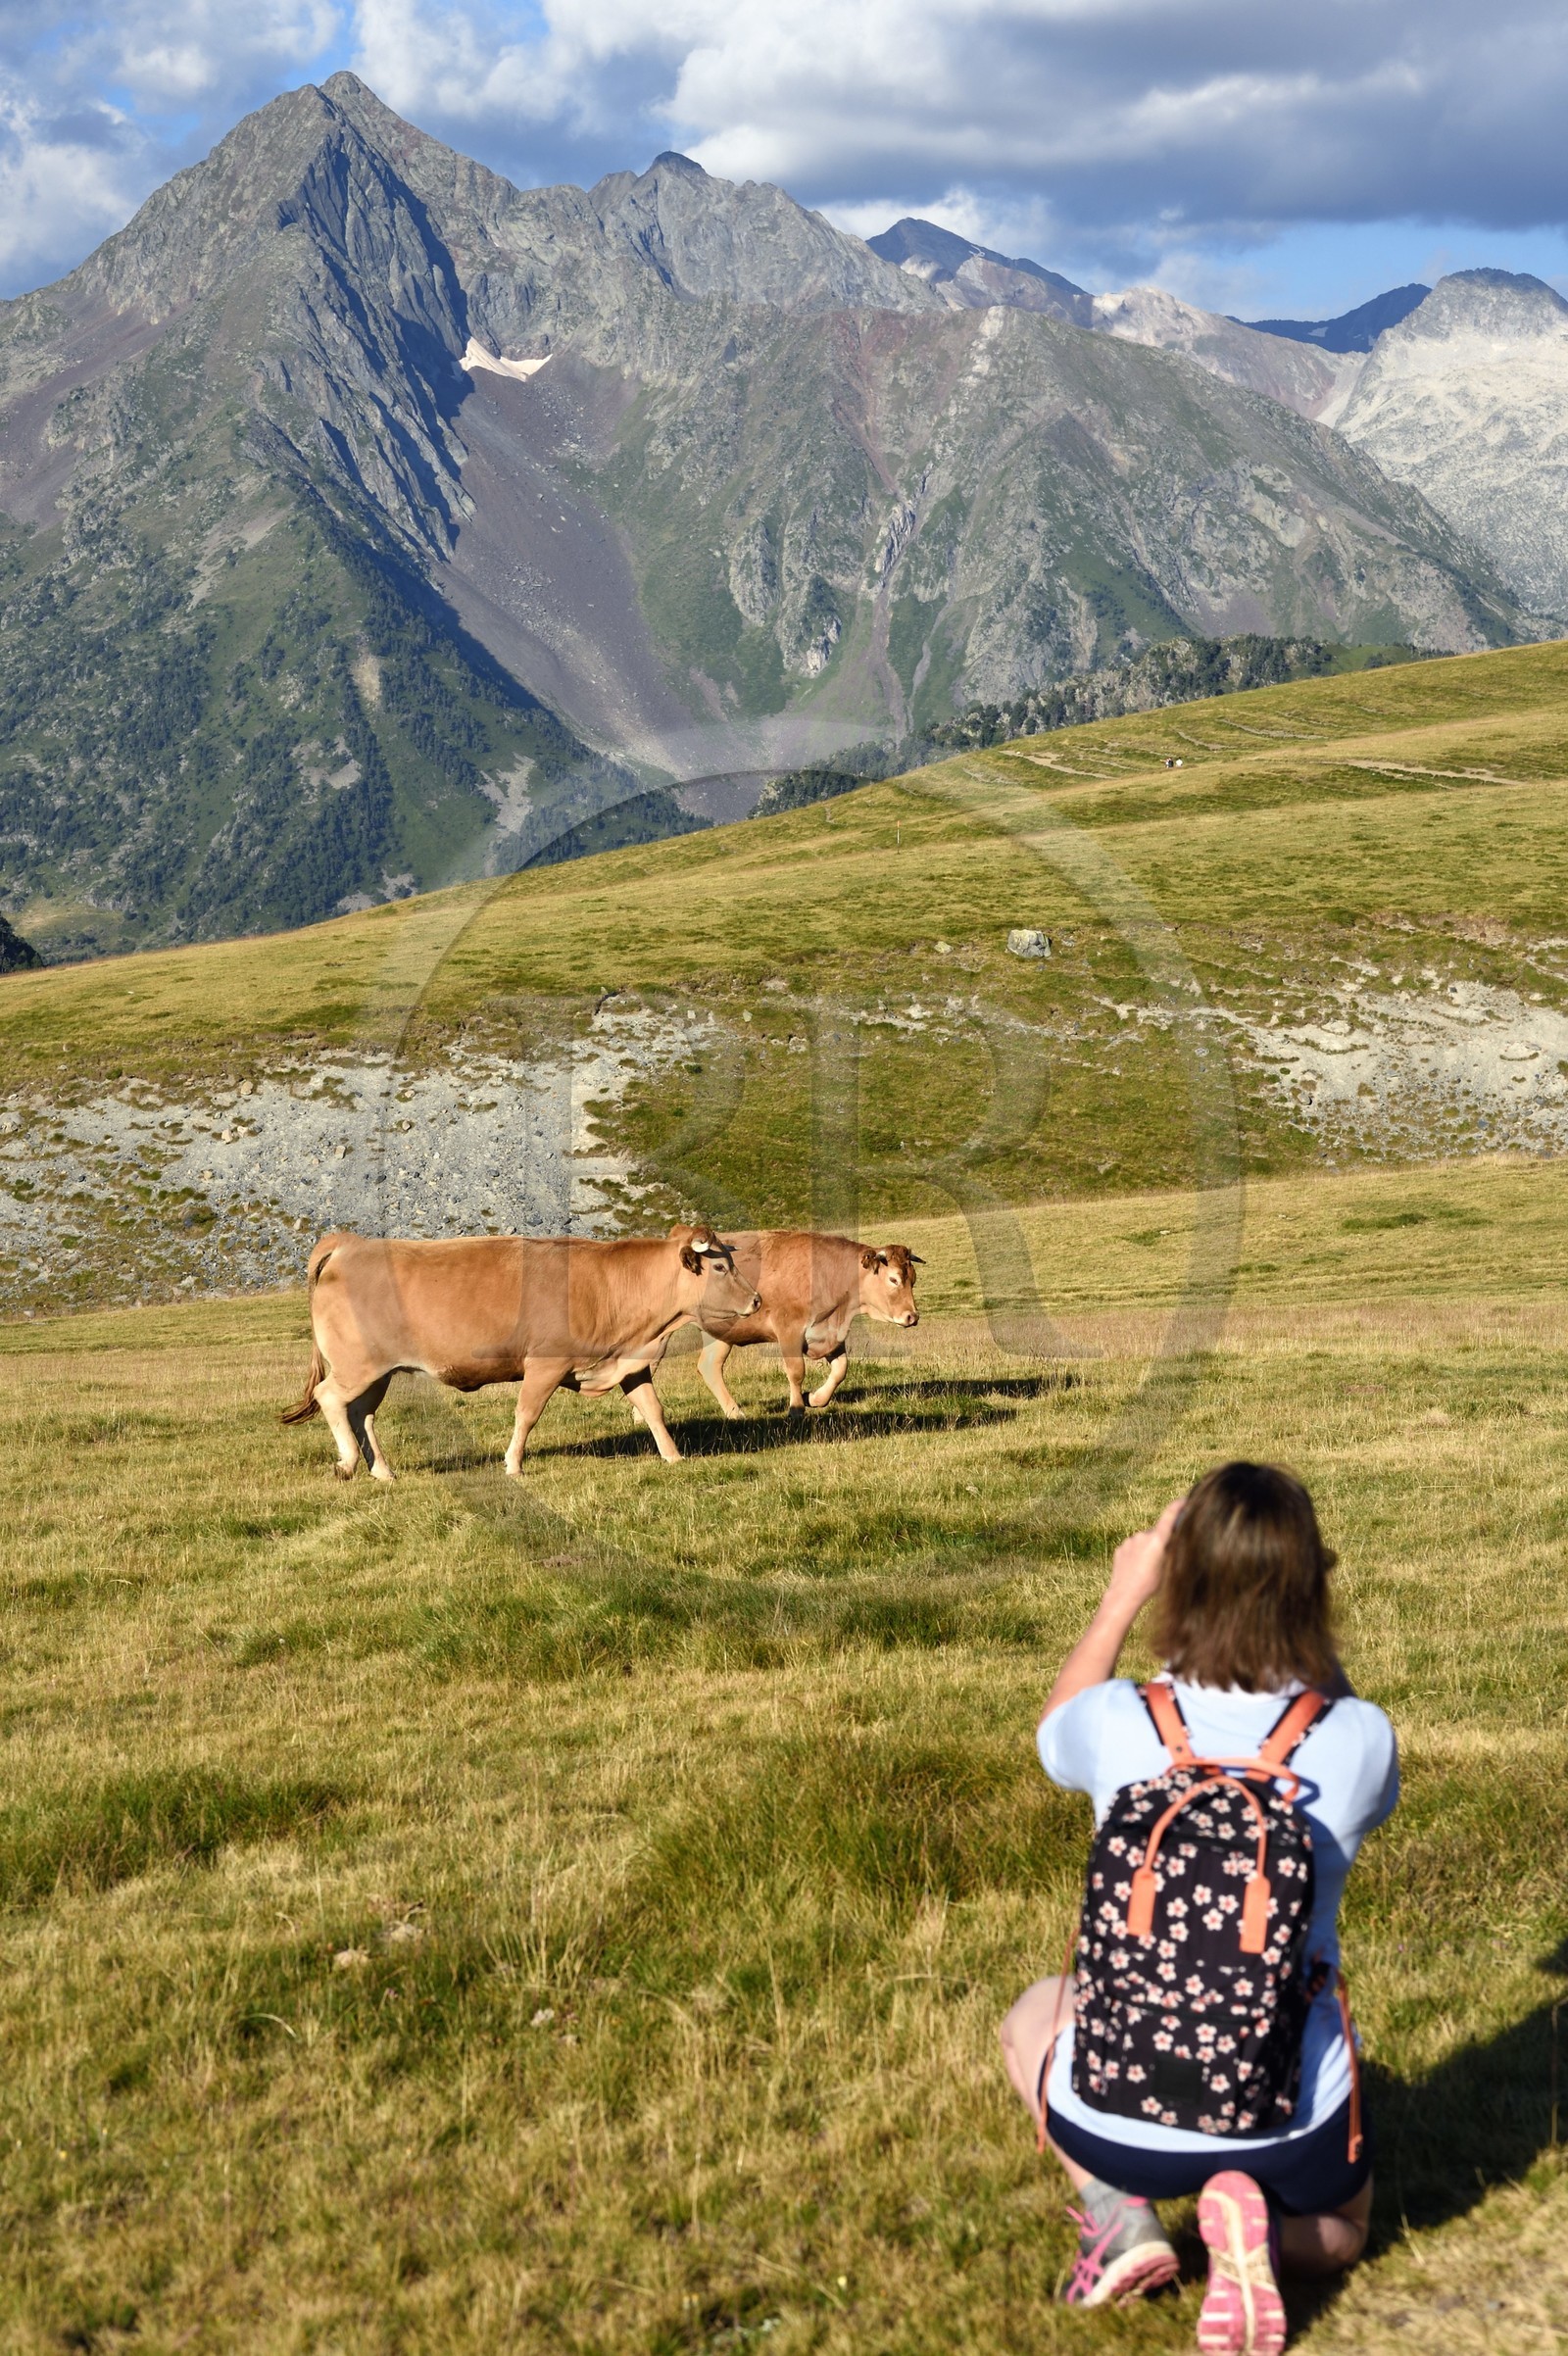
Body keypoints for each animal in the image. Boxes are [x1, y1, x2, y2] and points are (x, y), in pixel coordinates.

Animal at [281, 1225, 760, 1480]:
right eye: (721, 1266)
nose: (757, 1300)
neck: (609, 1285)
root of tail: (350, 1243)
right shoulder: (545, 1365)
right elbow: (526, 1414)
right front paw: (513, 1464)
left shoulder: (628, 1363)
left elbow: (653, 1410)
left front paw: (673, 1456)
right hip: (357, 1366)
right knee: (330, 1398)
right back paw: (348, 1463)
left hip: (377, 1373)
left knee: (361, 1413)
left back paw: (382, 1470)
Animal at [688, 1231, 922, 1417]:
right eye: (893, 1279)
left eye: (913, 1279)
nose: (912, 1316)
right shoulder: (789, 1330)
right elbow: (796, 1371)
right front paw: (796, 1409)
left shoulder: (829, 1332)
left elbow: (840, 1370)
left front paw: (814, 1398)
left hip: (721, 1334)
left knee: (710, 1367)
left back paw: (734, 1413)